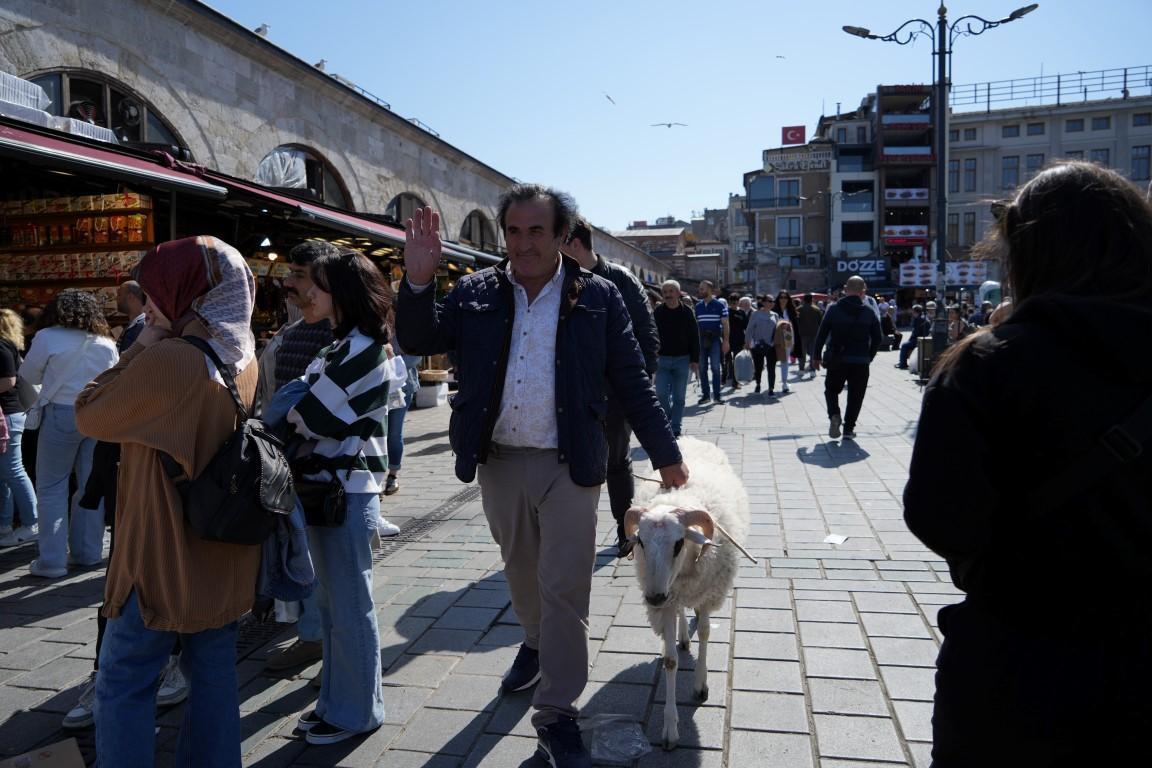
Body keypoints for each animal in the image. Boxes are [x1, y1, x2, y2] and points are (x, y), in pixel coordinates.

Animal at [626, 437, 751, 750]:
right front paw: (670, 728)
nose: (654, 598)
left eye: (679, 543)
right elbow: (670, 661)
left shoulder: (707, 594)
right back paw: (683, 636)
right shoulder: (667, 602)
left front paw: (700, 685)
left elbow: (705, 633)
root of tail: (688, 439)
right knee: (682, 610)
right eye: (641, 542)